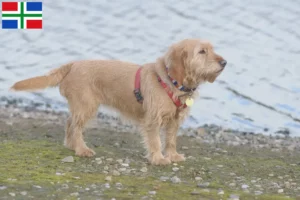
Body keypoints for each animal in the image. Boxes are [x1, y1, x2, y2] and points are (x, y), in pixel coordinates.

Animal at [11, 38, 227, 165]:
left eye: (212, 49)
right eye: (202, 51)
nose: (224, 62)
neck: (171, 81)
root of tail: (73, 64)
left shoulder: (174, 121)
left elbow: (171, 140)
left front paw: (172, 156)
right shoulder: (153, 120)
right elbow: (156, 141)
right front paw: (158, 158)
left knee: (69, 122)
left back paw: (72, 145)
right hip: (87, 107)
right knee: (75, 127)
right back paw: (81, 149)